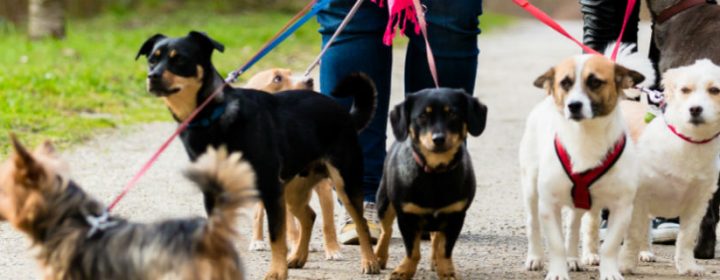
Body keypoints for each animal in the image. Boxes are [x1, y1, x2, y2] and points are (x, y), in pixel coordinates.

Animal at [136, 31, 382, 280]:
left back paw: (370, 261)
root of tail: (346, 115)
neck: (214, 117)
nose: (152, 76)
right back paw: (298, 257)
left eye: (180, 59)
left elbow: (276, 236)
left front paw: (276, 272)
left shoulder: (270, 188)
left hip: (343, 181)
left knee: (360, 221)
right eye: (152, 60)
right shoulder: (214, 193)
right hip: (293, 188)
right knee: (309, 216)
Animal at [374, 89, 486, 280]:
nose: (438, 139)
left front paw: (447, 271)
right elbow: (412, 250)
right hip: (384, 201)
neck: (435, 173)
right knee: (385, 230)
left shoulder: (455, 216)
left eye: (453, 114)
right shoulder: (407, 217)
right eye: (422, 116)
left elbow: (444, 249)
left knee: (436, 238)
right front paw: (404, 271)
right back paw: (379, 257)